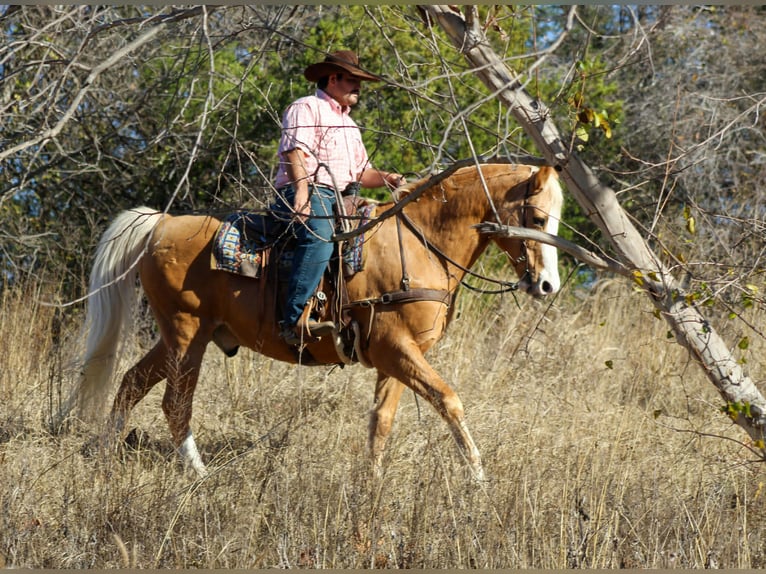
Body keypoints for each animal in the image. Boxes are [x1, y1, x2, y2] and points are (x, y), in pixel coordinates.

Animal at [58, 162, 563, 480]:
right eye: (538, 217)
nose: (547, 285)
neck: (419, 241)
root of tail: (160, 224)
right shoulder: (396, 349)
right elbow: (449, 400)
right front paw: (477, 479)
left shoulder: (397, 357)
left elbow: (381, 422)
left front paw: (372, 483)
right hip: (187, 335)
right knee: (174, 404)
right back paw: (197, 472)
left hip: (174, 337)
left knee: (130, 382)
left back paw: (104, 454)